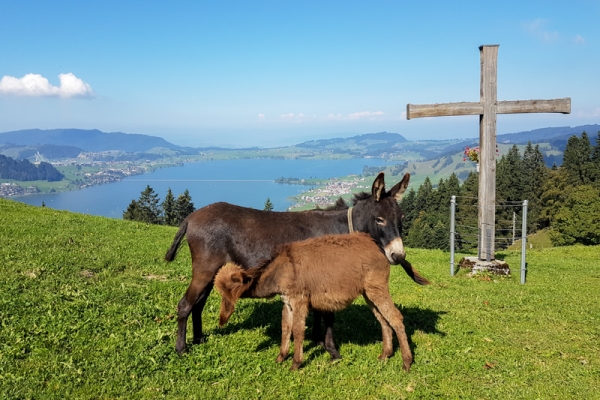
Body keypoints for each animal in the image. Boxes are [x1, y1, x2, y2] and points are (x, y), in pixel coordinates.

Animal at [216, 233, 426, 370]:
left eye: (226, 291)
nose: (221, 320)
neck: (283, 270)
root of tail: (379, 249)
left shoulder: (300, 301)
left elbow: (298, 331)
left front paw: (295, 364)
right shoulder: (288, 304)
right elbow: (285, 329)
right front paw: (280, 358)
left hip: (378, 289)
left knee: (396, 318)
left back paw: (406, 362)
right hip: (369, 293)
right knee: (383, 319)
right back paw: (385, 355)